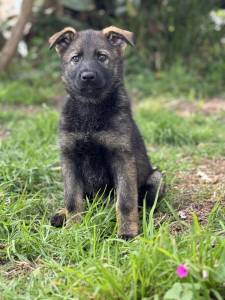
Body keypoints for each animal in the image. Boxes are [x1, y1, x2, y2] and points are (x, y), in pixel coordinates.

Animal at [49, 26, 165, 239]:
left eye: (102, 57)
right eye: (75, 58)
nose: (87, 76)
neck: (90, 108)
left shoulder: (122, 158)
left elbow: (126, 201)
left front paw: (127, 233)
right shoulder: (69, 157)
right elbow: (72, 199)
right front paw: (74, 229)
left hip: (157, 178)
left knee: (142, 204)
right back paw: (62, 214)